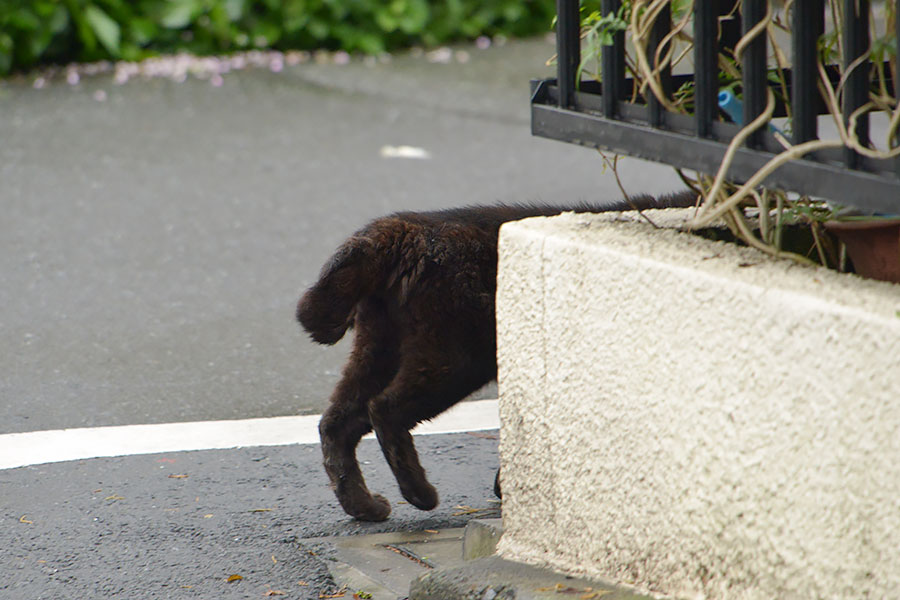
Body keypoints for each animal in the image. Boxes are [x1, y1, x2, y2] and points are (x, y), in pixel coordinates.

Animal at [298, 193, 692, 520]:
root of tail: (407, 228)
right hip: (456, 360)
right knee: (384, 410)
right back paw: (419, 494)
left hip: (379, 349)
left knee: (337, 422)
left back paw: (365, 507)